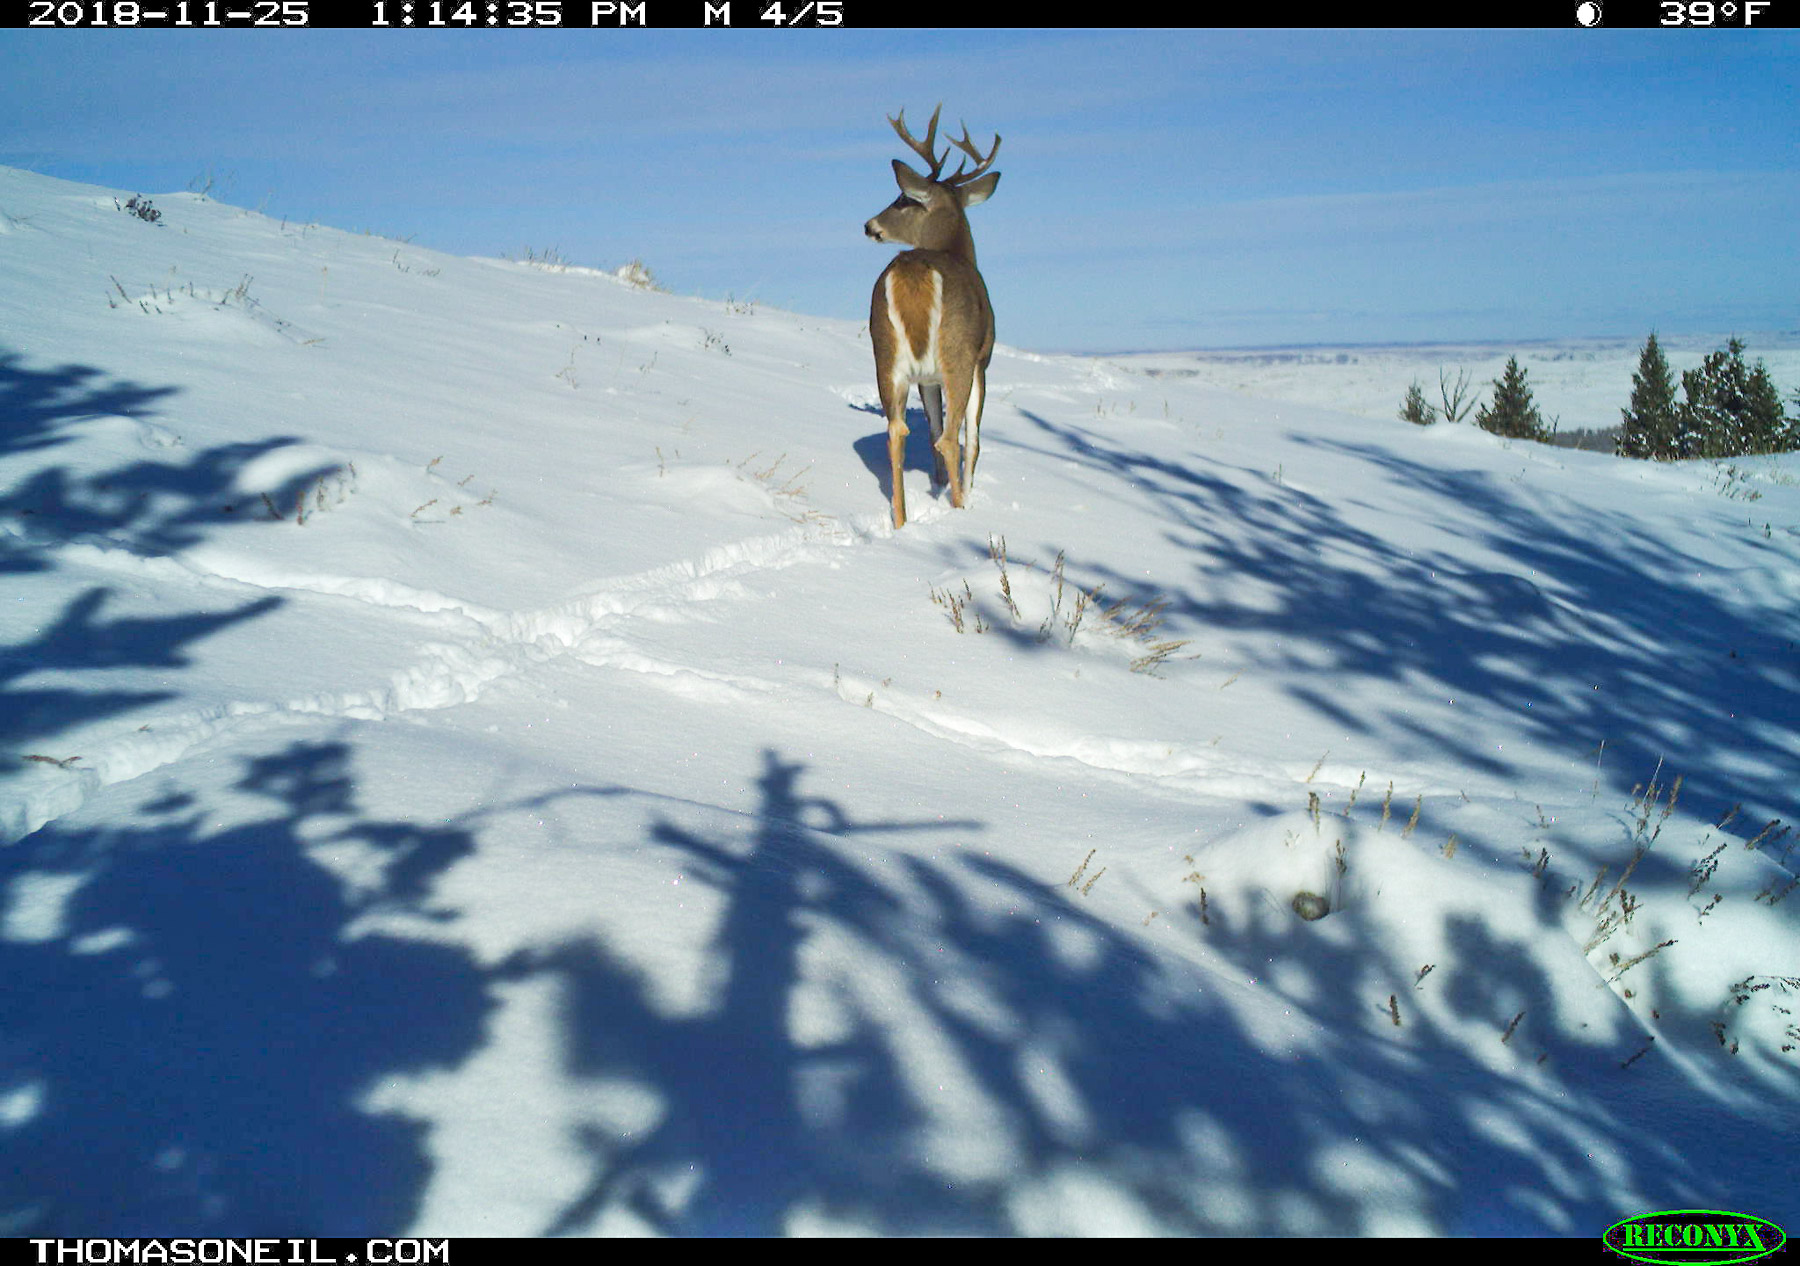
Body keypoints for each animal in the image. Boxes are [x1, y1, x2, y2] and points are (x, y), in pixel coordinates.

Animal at [864, 105, 1001, 529]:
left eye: (902, 200)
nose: (869, 225)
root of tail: (914, 269)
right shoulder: (982, 359)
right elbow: (972, 437)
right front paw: (963, 493)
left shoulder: (926, 378)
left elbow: (931, 426)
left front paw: (940, 484)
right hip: (957, 352)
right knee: (952, 436)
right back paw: (960, 511)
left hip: (885, 355)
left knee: (898, 431)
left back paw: (901, 521)